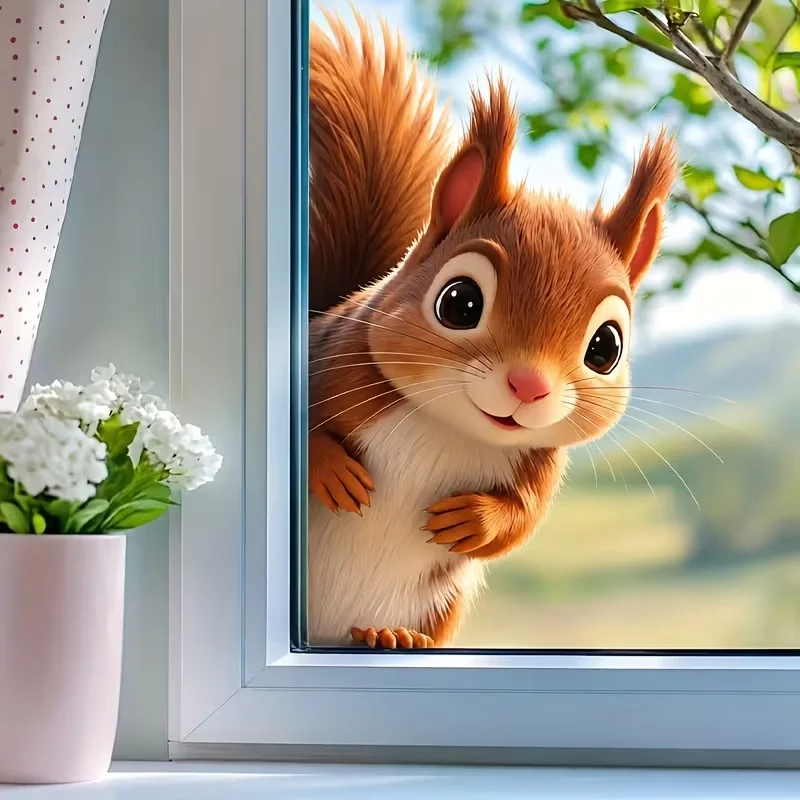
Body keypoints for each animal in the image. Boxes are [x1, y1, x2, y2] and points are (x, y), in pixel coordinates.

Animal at [307, 8, 679, 649]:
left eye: (605, 347)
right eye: (459, 303)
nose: (529, 387)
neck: (451, 427)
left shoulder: (541, 460)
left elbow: (523, 520)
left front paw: (473, 520)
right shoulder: (332, 362)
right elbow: (298, 434)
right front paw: (333, 472)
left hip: (439, 607)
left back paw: (391, 636)